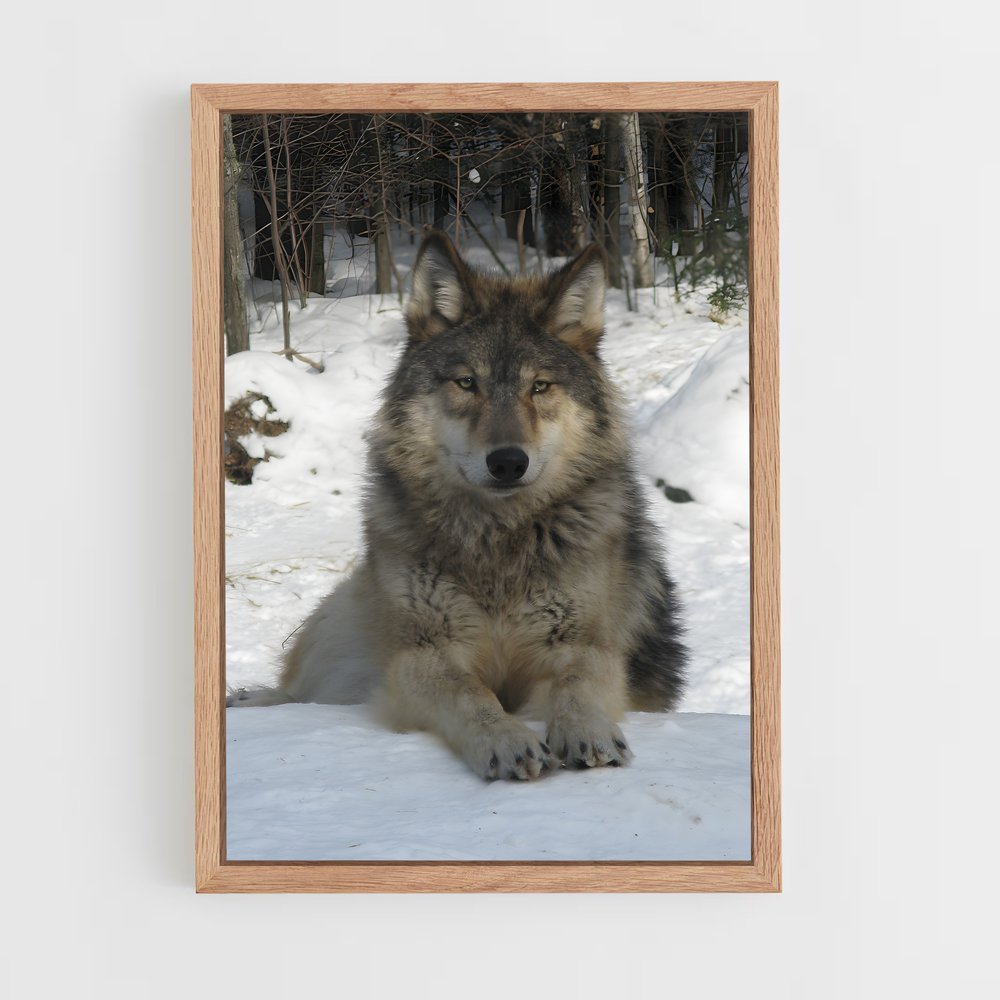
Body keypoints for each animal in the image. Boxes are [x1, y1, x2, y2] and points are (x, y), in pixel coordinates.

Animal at [244, 230, 686, 780]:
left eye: (539, 386)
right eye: (467, 383)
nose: (508, 462)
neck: (497, 541)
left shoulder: (586, 647)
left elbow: (577, 686)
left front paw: (588, 732)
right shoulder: (421, 655)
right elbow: (471, 694)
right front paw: (506, 740)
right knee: (300, 693)